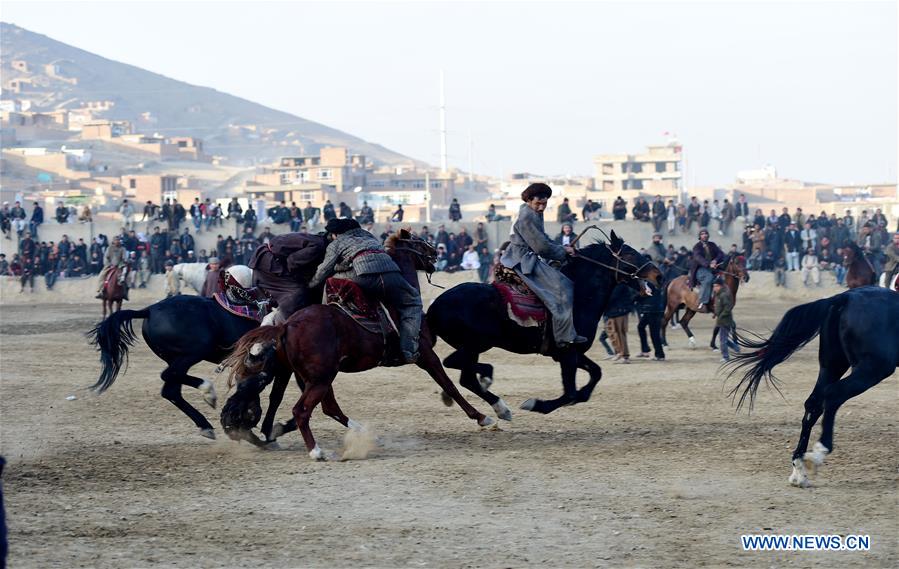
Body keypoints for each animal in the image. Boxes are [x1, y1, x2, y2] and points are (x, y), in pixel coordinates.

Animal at [85, 292, 296, 440]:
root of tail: (150, 309)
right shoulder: (284, 368)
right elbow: (276, 397)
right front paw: (271, 431)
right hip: (194, 352)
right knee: (169, 376)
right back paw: (207, 391)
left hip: (177, 357)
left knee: (170, 389)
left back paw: (205, 424)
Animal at [222, 230, 496, 458]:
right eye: (418, 242)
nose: (435, 254)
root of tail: (288, 324)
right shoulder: (425, 355)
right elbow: (450, 385)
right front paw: (482, 417)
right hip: (321, 378)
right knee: (303, 410)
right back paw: (316, 451)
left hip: (315, 378)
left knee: (328, 407)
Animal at [428, 230, 660, 418]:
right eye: (629, 254)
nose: (658, 274)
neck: (579, 297)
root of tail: (433, 307)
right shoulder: (567, 353)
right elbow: (570, 393)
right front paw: (536, 404)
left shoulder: (572, 353)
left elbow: (595, 375)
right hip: (476, 344)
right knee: (460, 369)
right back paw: (492, 392)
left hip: (472, 347)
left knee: (461, 371)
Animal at [732, 286, 899, 486]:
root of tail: (845, 297)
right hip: (872, 368)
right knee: (834, 395)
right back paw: (818, 453)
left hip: (832, 366)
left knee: (814, 404)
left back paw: (799, 470)